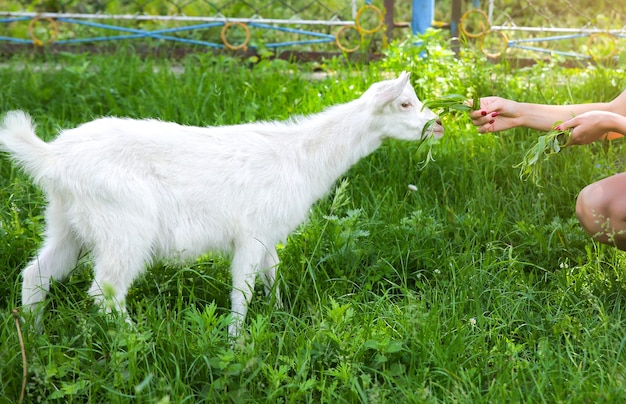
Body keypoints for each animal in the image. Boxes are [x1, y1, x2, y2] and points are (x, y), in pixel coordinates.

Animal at [0, 71, 438, 336]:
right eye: (404, 104)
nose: (438, 126)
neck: (299, 156)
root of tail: (52, 158)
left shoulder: (268, 235)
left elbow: (272, 277)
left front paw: (279, 315)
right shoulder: (250, 233)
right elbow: (242, 291)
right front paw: (237, 341)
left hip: (66, 222)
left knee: (36, 273)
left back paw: (36, 334)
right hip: (125, 227)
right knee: (104, 290)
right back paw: (136, 339)